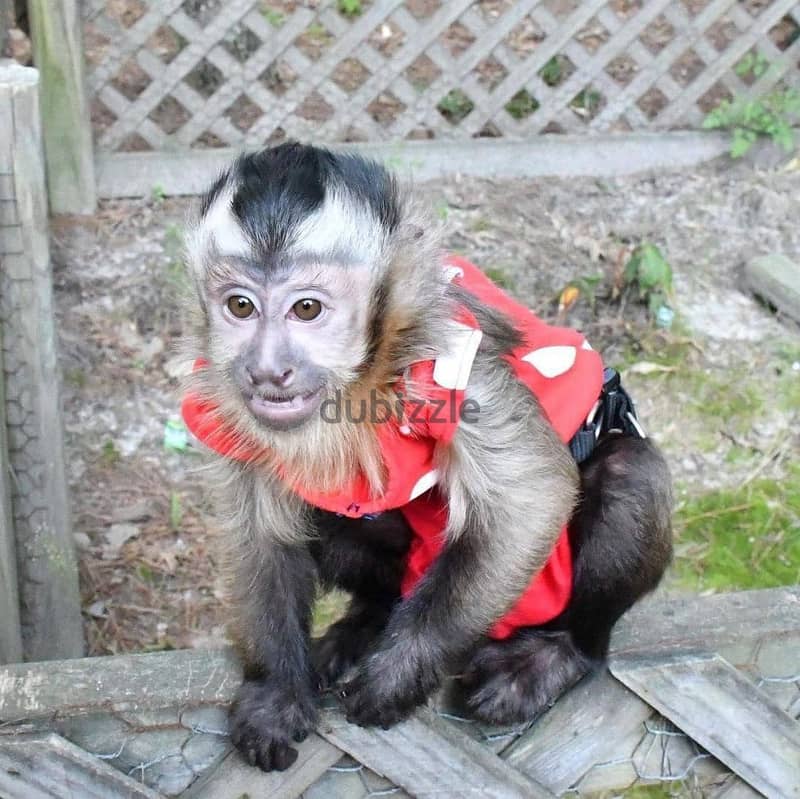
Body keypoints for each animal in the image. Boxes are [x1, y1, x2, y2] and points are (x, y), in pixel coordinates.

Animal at [180, 142, 673, 773]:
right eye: (240, 306)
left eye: (307, 310)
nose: (268, 370)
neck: (362, 381)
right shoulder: (221, 403)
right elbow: (258, 535)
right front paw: (275, 690)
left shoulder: (451, 357)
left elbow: (531, 501)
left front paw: (398, 676)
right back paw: (368, 620)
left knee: (628, 473)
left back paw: (561, 653)